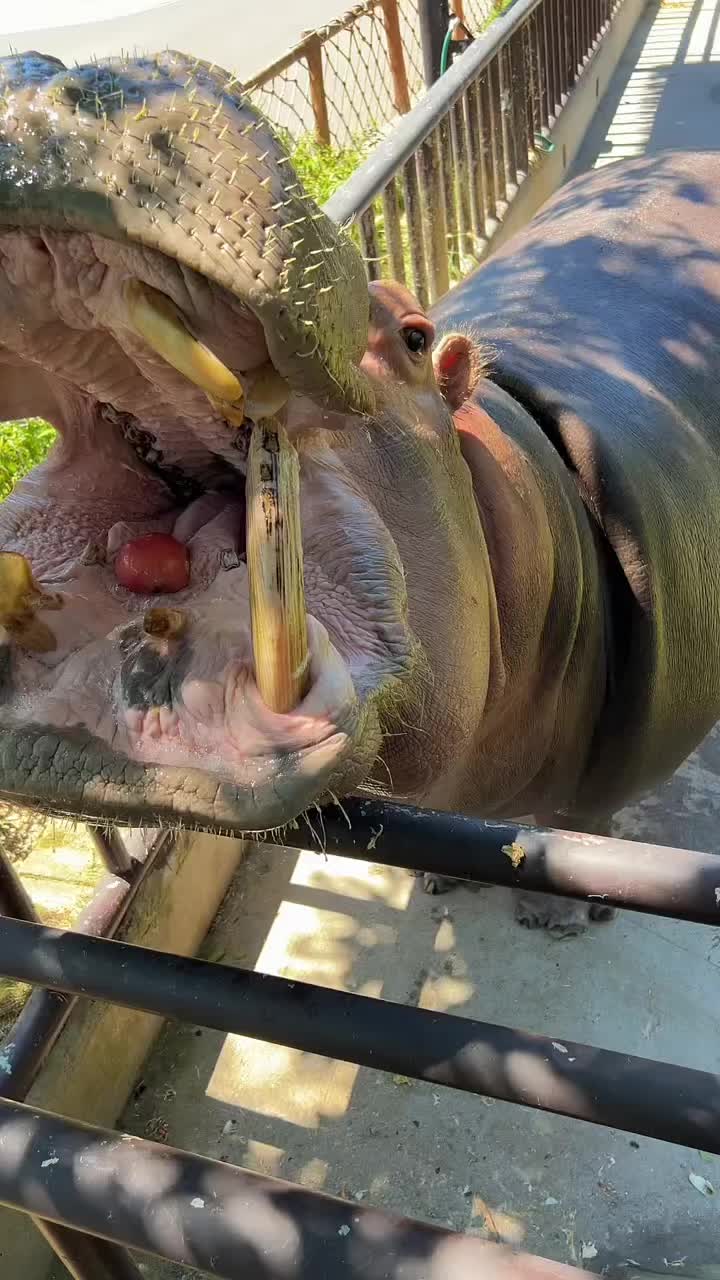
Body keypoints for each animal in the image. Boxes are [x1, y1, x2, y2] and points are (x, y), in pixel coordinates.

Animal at [1, 51, 719, 936]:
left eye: (413, 334)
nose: (57, 82)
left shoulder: (589, 796)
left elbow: (571, 827)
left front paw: (552, 915)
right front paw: (442, 881)